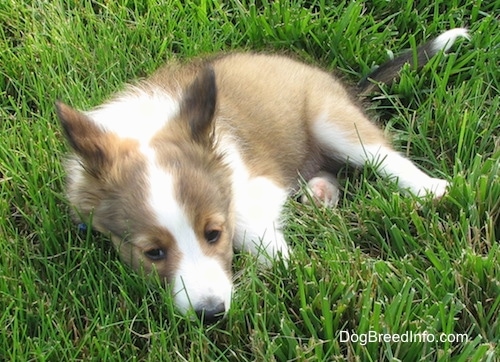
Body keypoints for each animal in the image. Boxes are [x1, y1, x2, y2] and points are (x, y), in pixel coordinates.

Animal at [57, 29, 468, 322]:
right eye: (153, 253)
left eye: (213, 234)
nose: (211, 314)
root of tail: (345, 88)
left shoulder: (255, 187)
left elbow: (248, 227)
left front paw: (295, 268)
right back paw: (321, 192)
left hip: (331, 119)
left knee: (385, 157)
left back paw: (433, 189)